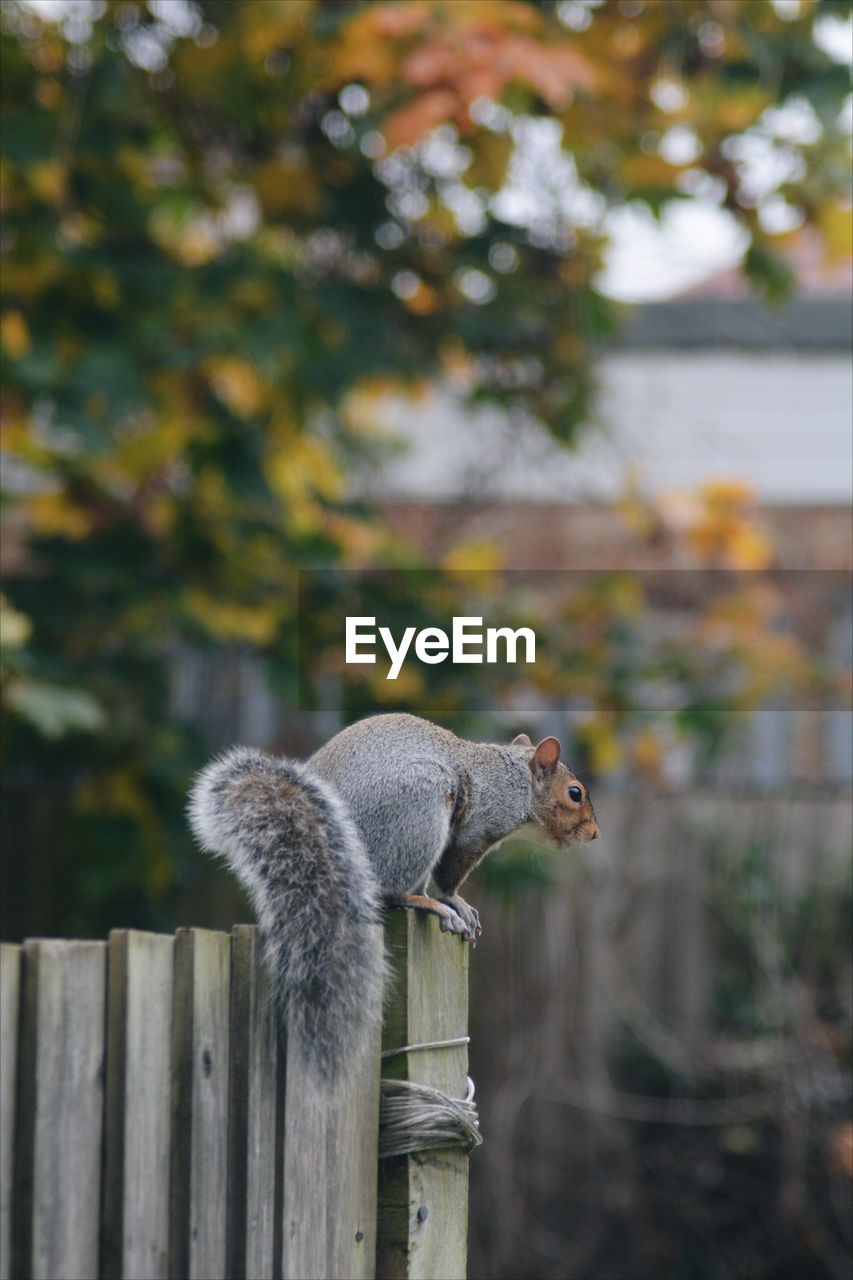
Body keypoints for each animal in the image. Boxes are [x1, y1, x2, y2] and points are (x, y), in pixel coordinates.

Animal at [185, 711, 596, 1080]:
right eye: (575, 794)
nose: (594, 834)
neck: (517, 779)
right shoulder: (480, 825)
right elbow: (450, 874)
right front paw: (457, 903)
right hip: (418, 811)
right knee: (390, 891)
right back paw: (427, 903)